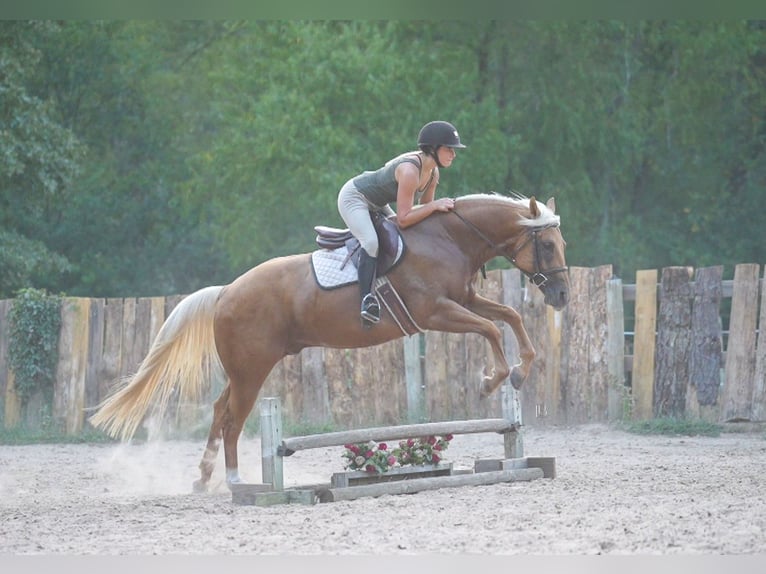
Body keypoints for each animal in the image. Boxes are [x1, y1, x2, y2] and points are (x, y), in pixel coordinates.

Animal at [89, 193, 569, 491]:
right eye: (547, 244)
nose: (562, 296)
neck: (449, 237)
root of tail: (226, 291)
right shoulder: (436, 313)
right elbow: (491, 329)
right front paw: (495, 379)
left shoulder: (465, 300)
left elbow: (508, 317)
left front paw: (522, 369)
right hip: (252, 370)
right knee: (233, 418)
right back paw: (236, 481)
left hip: (244, 369)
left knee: (219, 409)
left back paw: (204, 480)